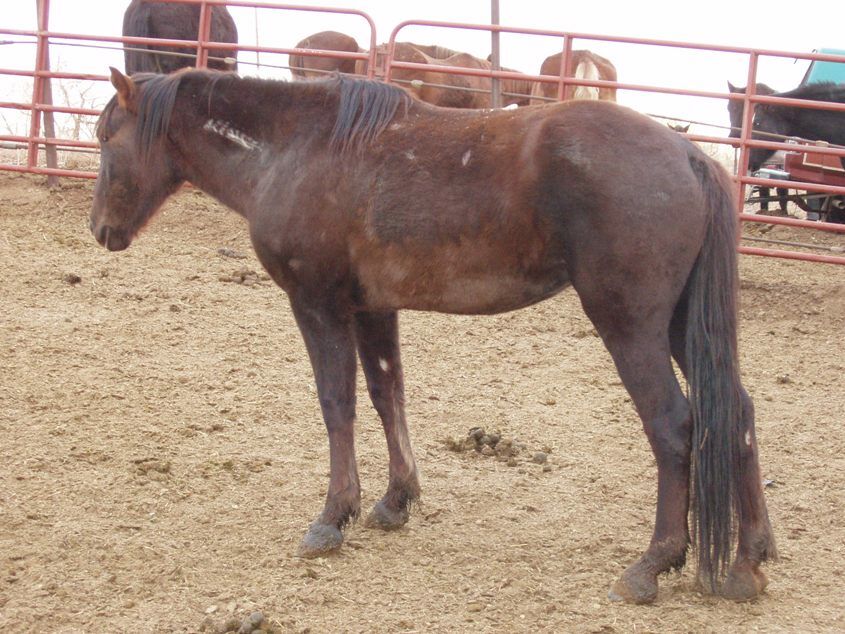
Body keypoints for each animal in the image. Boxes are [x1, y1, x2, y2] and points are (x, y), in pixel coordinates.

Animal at [94, 65, 780, 604]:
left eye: (105, 138)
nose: (100, 228)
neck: (297, 150)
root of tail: (689, 156)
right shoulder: (372, 308)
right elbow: (386, 395)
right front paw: (395, 501)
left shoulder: (318, 305)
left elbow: (336, 404)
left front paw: (332, 517)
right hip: (679, 326)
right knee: (737, 411)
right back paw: (747, 563)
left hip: (631, 326)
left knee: (674, 427)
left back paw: (652, 566)